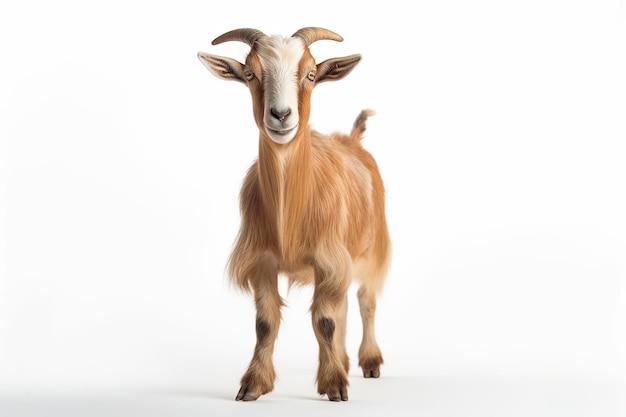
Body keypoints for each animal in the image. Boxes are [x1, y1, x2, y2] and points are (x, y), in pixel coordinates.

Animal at [197, 27, 388, 402]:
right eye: (251, 74)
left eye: (311, 74)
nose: (281, 115)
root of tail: (352, 140)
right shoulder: (262, 260)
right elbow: (265, 323)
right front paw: (253, 385)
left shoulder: (329, 257)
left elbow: (324, 320)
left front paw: (334, 385)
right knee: (344, 305)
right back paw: (344, 360)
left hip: (373, 246)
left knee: (366, 301)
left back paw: (369, 362)